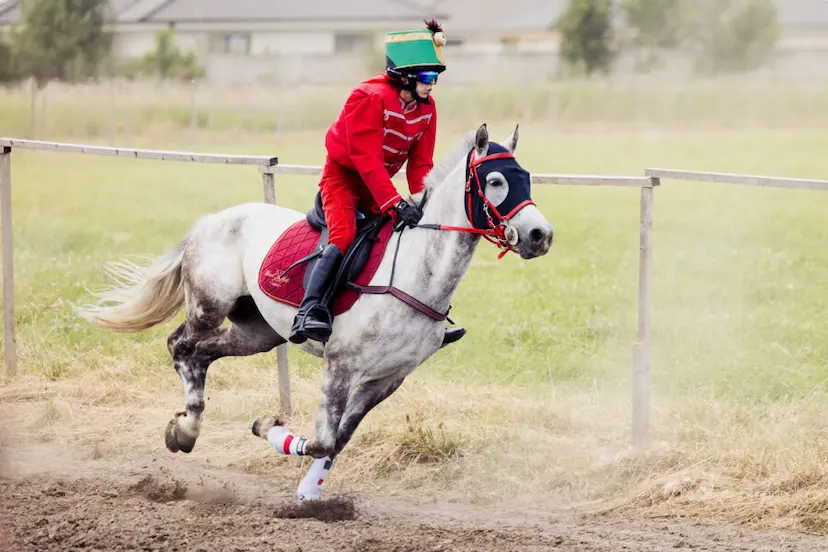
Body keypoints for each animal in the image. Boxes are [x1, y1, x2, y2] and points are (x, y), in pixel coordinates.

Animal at [77, 124, 552, 500]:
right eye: (495, 180)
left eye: (526, 177)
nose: (540, 235)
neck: (416, 273)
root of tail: (210, 220)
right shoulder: (340, 366)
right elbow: (322, 440)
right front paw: (266, 426)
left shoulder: (387, 379)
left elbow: (338, 441)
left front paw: (310, 493)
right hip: (209, 305)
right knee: (180, 345)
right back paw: (185, 429)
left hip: (258, 332)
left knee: (203, 353)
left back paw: (185, 428)